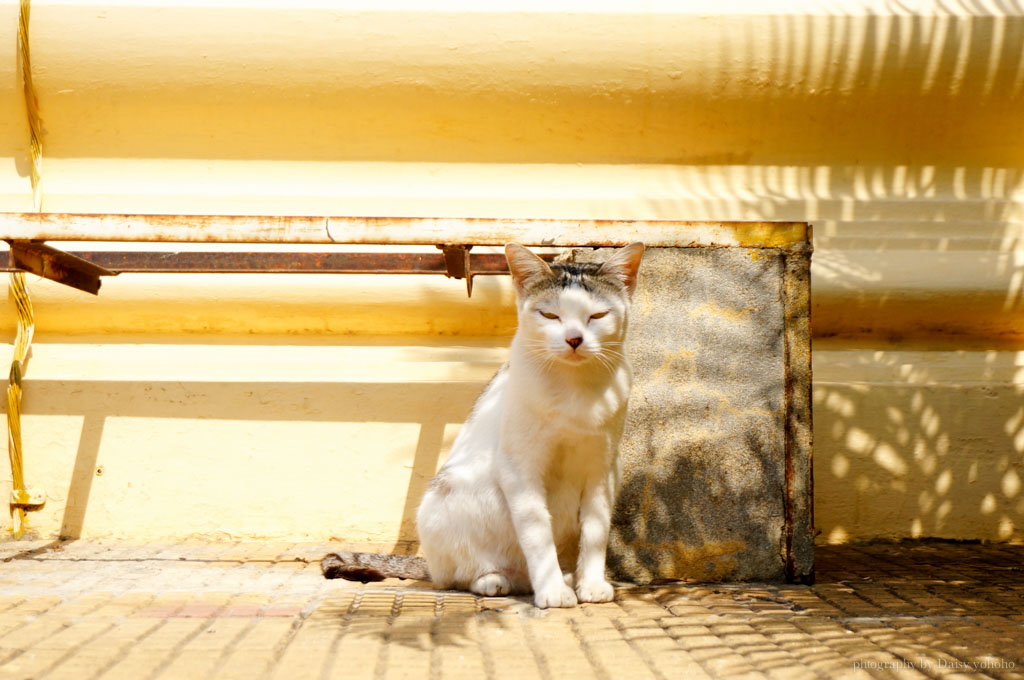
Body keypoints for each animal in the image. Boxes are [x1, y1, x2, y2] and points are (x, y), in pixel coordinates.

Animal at [413, 241, 638, 606]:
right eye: (550, 315)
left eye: (597, 316)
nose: (574, 339)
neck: (574, 390)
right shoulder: (520, 468)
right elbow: (537, 533)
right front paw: (553, 592)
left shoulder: (602, 469)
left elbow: (595, 531)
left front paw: (590, 583)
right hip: (448, 496)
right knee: (455, 577)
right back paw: (494, 580)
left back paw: (568, 577)